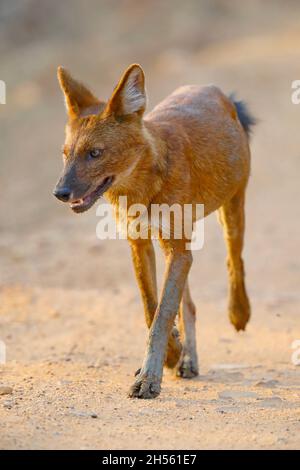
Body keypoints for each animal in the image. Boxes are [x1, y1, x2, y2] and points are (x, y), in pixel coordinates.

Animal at [54, 62, 255, 398]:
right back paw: (187, 359)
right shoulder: (140, 243)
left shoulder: (175, 248)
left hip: (232, 209)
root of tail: (213, 89)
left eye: (95, 153)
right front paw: (171, 355)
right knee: (189, 303)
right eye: (66, 153)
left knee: (234, 261)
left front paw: (149, 378)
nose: (60, 192)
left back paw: (238, 313)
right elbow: (152, 307)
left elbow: (162, 314)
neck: (140, 191)